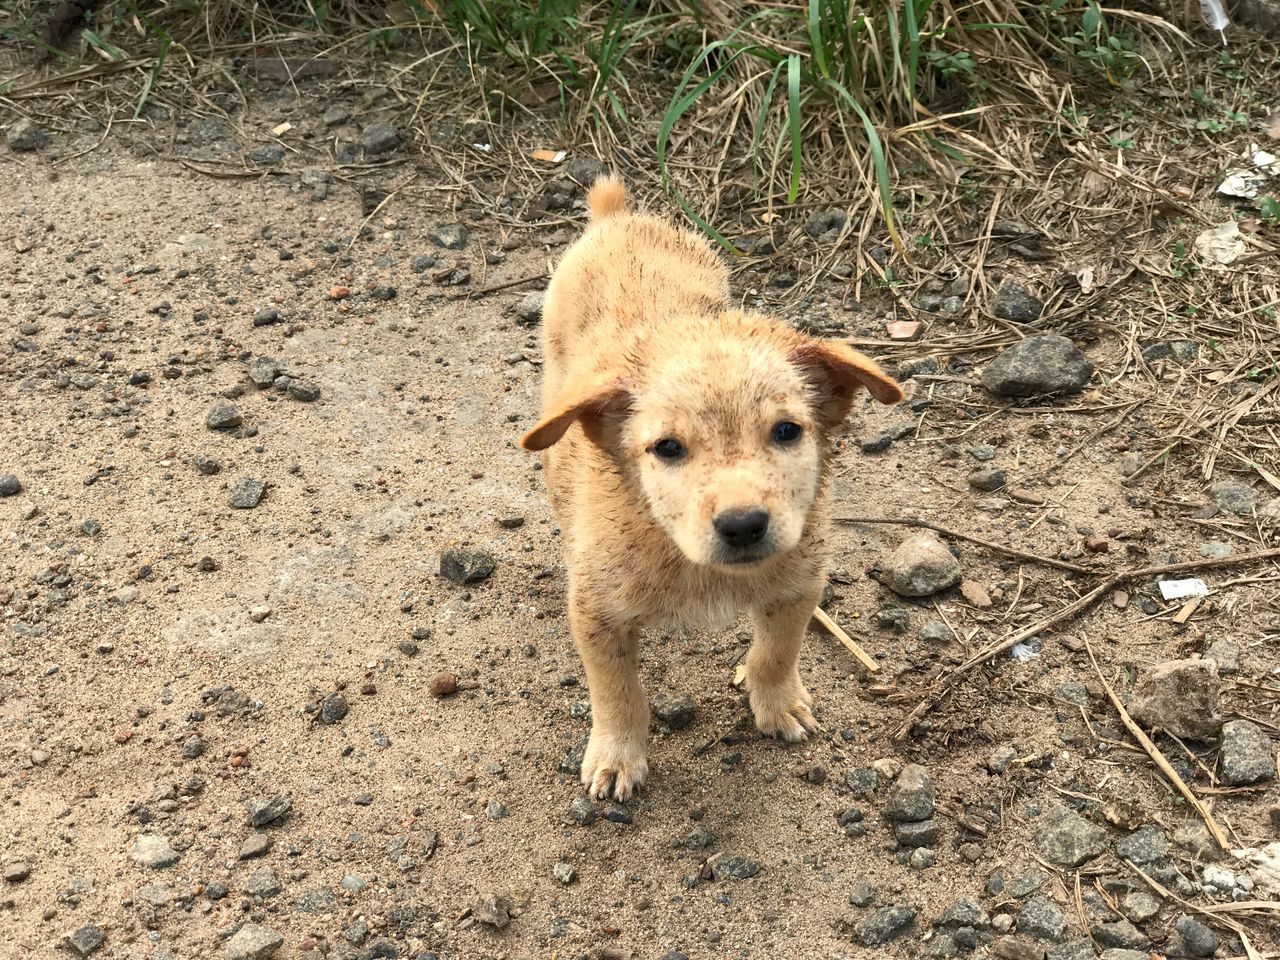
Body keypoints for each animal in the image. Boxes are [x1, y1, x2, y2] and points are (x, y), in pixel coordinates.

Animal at [519, 180, 901, 803]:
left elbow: (775, 653)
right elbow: (617, 693)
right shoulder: (596, 613)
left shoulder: (799, 584)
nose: (743, 525)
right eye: (667, 448)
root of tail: (617, 217)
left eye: (787, 431)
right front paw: (617, 756)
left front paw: (777, 705)